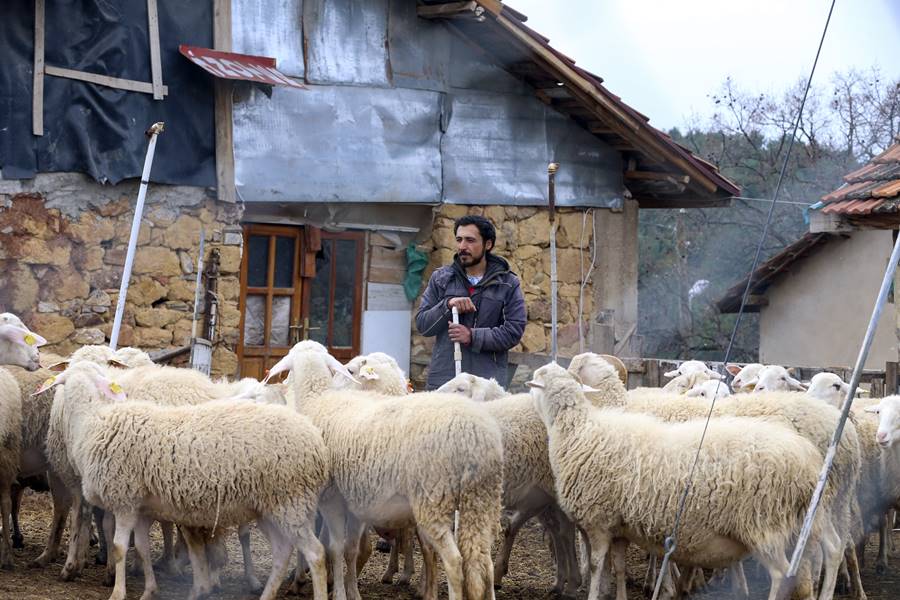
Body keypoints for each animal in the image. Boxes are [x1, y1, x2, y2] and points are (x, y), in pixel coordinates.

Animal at [41, 360, 330, 600]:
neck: (91, 423)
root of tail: (315, 442)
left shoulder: (125, 502)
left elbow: (121, 547)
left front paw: (117, 593)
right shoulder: (142, 509)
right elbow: (142, 548)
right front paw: (150, 591)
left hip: (290, 502)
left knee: (316, 554)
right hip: (270, 509)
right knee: (282, 553)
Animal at [268, 342, 506, 600]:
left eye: (350, 371)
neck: (318, 398)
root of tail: (475, 434)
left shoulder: (332, 498)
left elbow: (335, 547)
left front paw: (338, 591)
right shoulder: (356, 502)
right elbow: (351, 548)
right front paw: (352, 591)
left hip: (433, 499)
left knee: (454, 560)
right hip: (481, 501)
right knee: (482, 559)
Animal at [528, 364, 836, 600]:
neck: (577, 429)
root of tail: (805, 460)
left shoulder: (598, 521)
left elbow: (595, 566)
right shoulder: (619, 526)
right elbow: (619, 568)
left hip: (764, 525)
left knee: (783, 576)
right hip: (803, 526)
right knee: (811, 572)